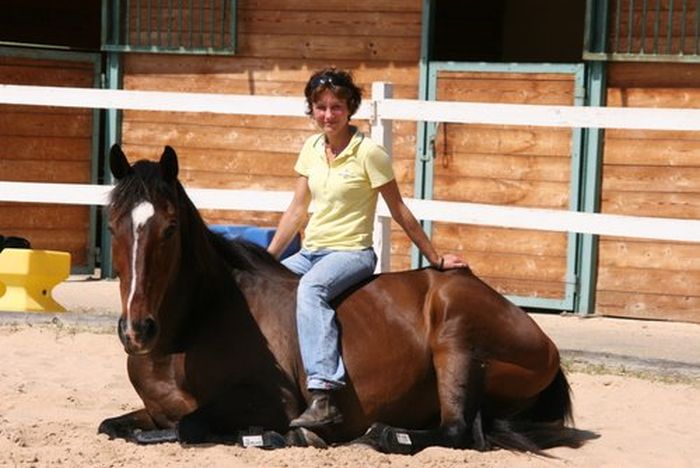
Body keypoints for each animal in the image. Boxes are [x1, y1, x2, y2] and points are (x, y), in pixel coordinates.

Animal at [100, 145, 592, 454]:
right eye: (112, 225)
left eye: (169, 229)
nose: (137, 330)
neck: (192, 329)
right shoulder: (153, 409)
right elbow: (114, 426)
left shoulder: (272, 402)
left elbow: (188, 426)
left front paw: (271, 436)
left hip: (457, 339)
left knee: (456, 430)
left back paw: (384, 436)